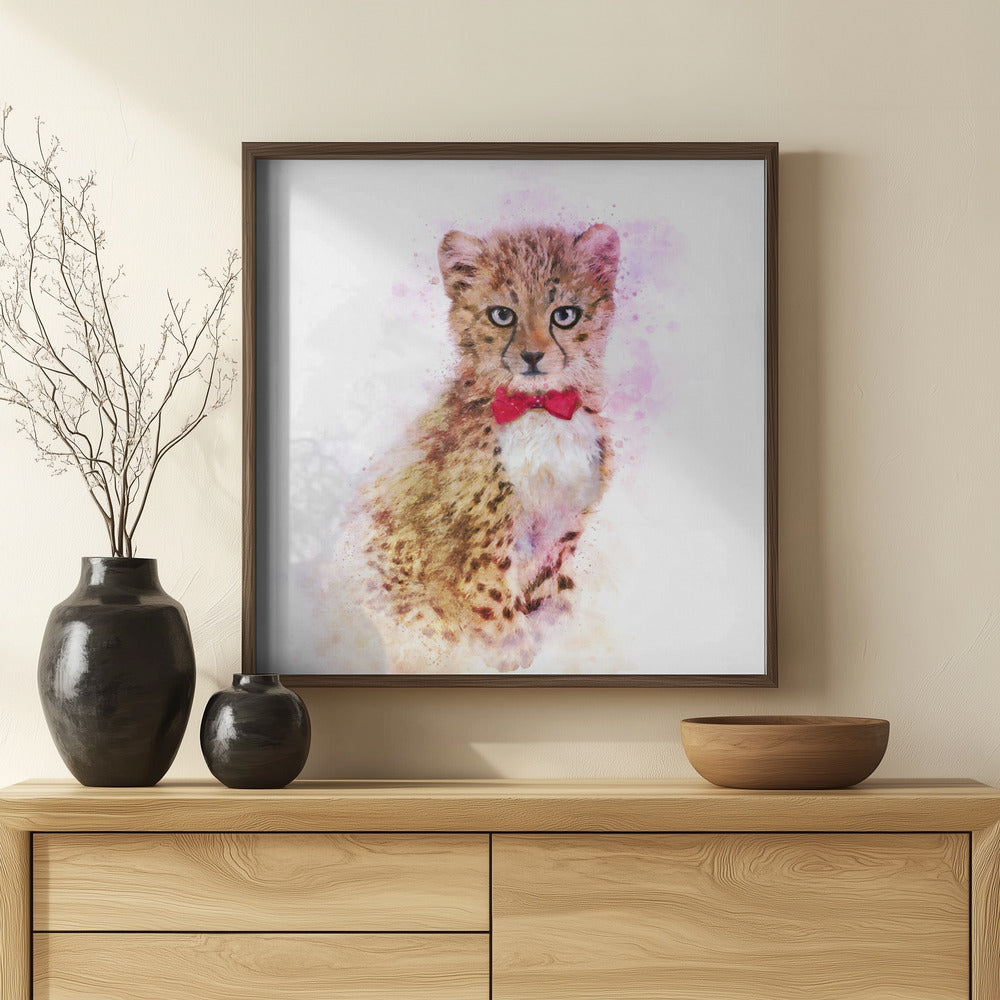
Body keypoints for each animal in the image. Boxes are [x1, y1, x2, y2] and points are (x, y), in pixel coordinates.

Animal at [328, 223, 620, 674]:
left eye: (564, 315)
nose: (532, 356)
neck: (537, 409)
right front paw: (515, 655)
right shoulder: (484, 549)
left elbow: (551, 603)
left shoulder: (560, 538)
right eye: (502, 315)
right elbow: (501, 618)